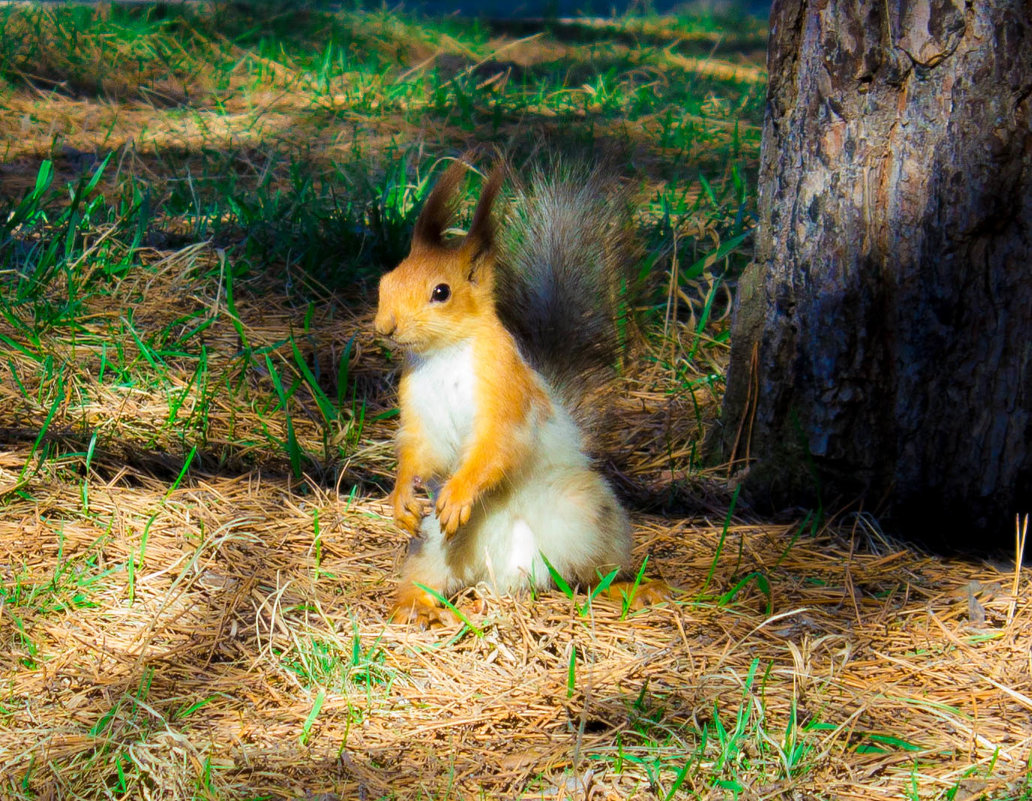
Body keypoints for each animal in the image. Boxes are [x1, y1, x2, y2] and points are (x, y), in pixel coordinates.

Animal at [371, 157, 668, 627]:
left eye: (441, 292)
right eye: (386, 282)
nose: (385, 327)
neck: (443, 356)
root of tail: (503, 575)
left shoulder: (504, 390)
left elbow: (496, 446)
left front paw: (458, 494)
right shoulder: (418, 408)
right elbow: (419, 450)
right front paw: (401, 496)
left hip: (588, 518)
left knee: (593, 573)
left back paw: (628, 587)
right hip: (433, 543)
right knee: (428, 576)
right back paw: (416, 605)